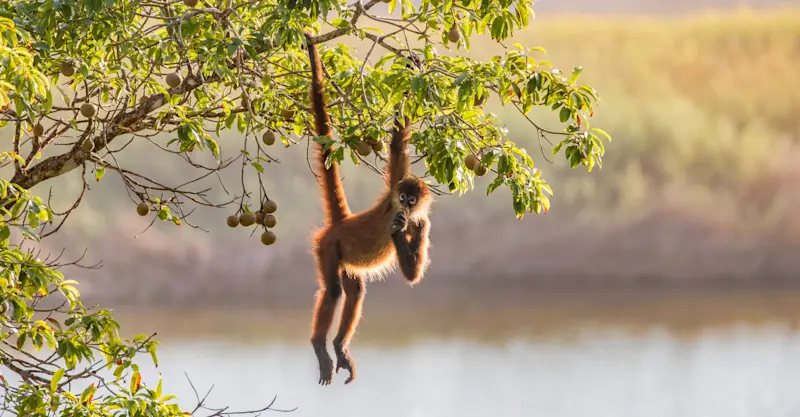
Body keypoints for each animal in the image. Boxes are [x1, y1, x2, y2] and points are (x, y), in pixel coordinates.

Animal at [304, 33, 433, 386]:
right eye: (402, 197)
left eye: (413, 200)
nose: (404, 207)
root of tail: (342, 222)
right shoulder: (394, 183)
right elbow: (399, 141)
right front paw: (411, 68)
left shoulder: (422, 221)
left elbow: (412, 275)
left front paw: (400, 231)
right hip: (328, 245)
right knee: (332, 291)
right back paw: (320, 346)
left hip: (346, 259)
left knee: (355, 291)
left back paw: (338, 345)